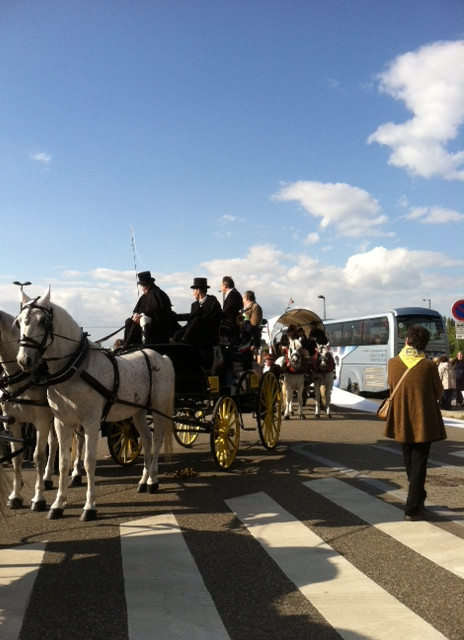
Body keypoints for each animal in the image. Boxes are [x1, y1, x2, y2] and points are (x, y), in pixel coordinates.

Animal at [15, 288, 176, 520]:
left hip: (158, 408)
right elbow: (63, 462)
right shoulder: (62, 423)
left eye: (43, 321)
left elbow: (89, 462)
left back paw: (153, 480)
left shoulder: (91, 422)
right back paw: (143, 480)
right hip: (137, 412)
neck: (76, 369)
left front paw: (89, 506)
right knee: (146, 440)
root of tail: (160, 355)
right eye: (19, 322)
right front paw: (58, 504)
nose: (24, 360)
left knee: (157, 440)